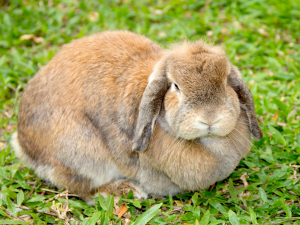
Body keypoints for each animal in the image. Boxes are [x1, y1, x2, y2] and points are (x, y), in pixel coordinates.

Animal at [11, 30, 262, 204]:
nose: (209, 118)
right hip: (82, 155)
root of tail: (23, 144)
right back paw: (126, 191)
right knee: (82, 188)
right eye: (176, 86)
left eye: (226, 80)